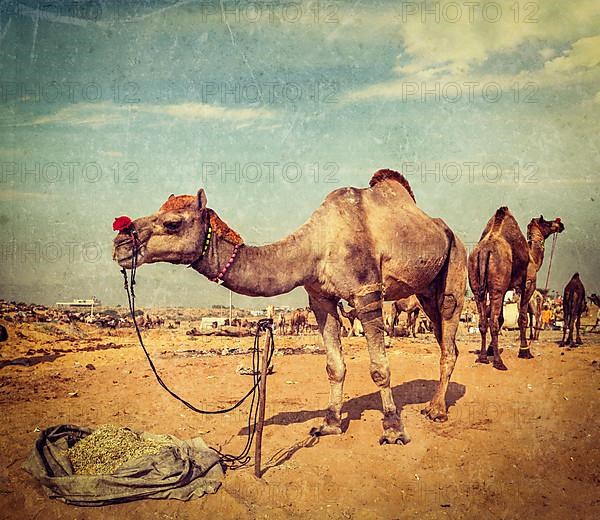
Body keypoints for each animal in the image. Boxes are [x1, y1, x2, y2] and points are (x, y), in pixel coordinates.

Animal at [113, 170, 468, 442]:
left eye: (172, 223)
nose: (120, 241)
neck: (316, 245)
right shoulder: (320, 298)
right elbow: (334, 366)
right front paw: (329, 424)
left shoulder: (366, 293)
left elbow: (380, 368)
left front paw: (393, 429)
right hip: (425, 290)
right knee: (443, 339)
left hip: (455, 267)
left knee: (449, 334)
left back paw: (436, 410)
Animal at [468, 207, 564, 370]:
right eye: (546, 222)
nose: (559, 223)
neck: (533, 259)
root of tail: (484, 251)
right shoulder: (527, 285)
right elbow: (522, 319)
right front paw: (525, 351)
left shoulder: (506, 288)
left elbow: (501, 318)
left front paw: (491, 349)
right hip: (497, 288)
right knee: (493, 322)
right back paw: (499, 362)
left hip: (477, 285)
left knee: (483, 321)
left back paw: (482, 357)